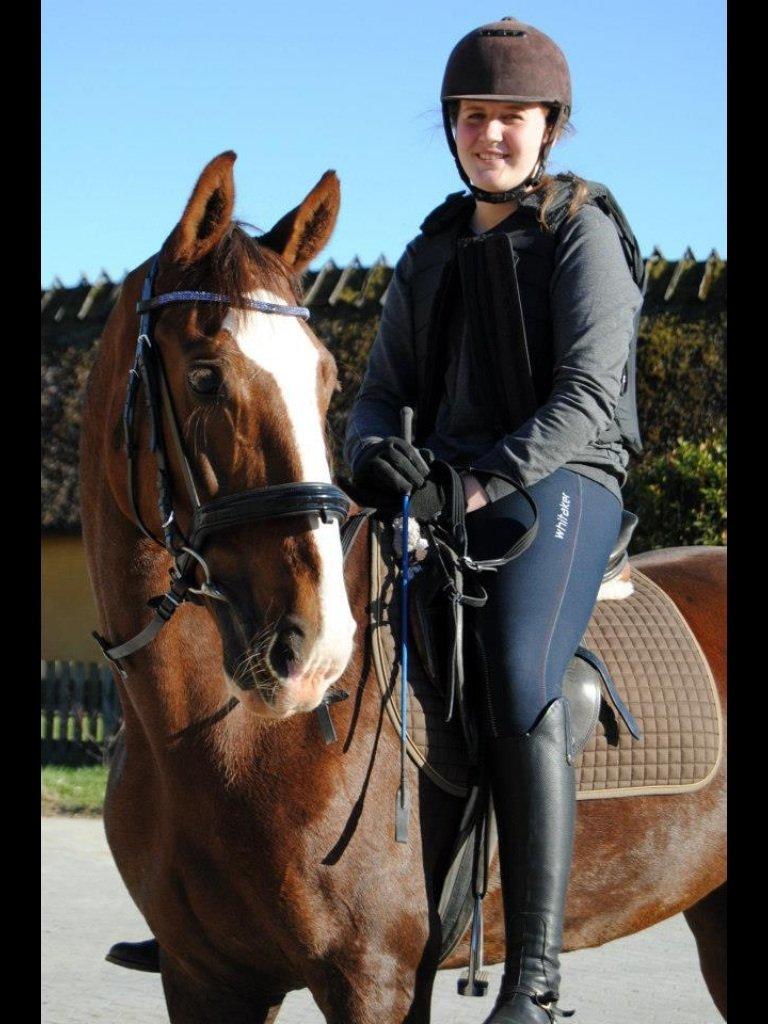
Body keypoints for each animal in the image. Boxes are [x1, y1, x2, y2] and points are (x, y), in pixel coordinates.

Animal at [79, 153, 729, 1024]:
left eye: (325, 381)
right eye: (206, 376)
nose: (316, 650)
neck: (210, 739)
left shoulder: (373, 979)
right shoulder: (204, 979)